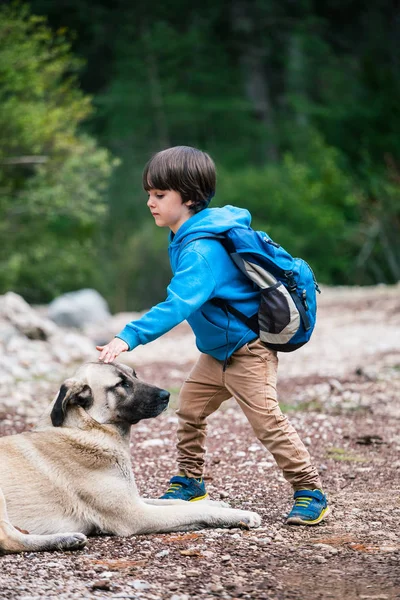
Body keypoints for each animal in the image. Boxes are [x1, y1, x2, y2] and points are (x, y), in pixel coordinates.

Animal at [0, 358, 260, 556]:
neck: (89, 428)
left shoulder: (134, 499)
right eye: (121, 384)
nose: (167, 395)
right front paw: (240, 515)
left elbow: (177, 502)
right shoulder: (135, 514)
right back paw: (65, 539)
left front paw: (216, 502)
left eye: (134, 374)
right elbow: (192, 511)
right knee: (7, 540)